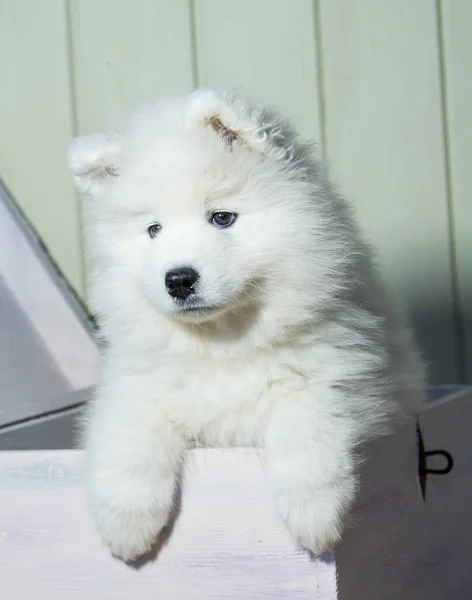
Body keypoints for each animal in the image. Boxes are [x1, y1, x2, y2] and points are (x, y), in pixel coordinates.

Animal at [68, 88, 426, 564]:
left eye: (222, 218)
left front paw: (315, 518)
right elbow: (128, 439)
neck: (223, 341)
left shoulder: (343, 376)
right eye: (153, 230)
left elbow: (307, 428)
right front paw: (126, 530)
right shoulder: (137, 385)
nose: (178, 279)